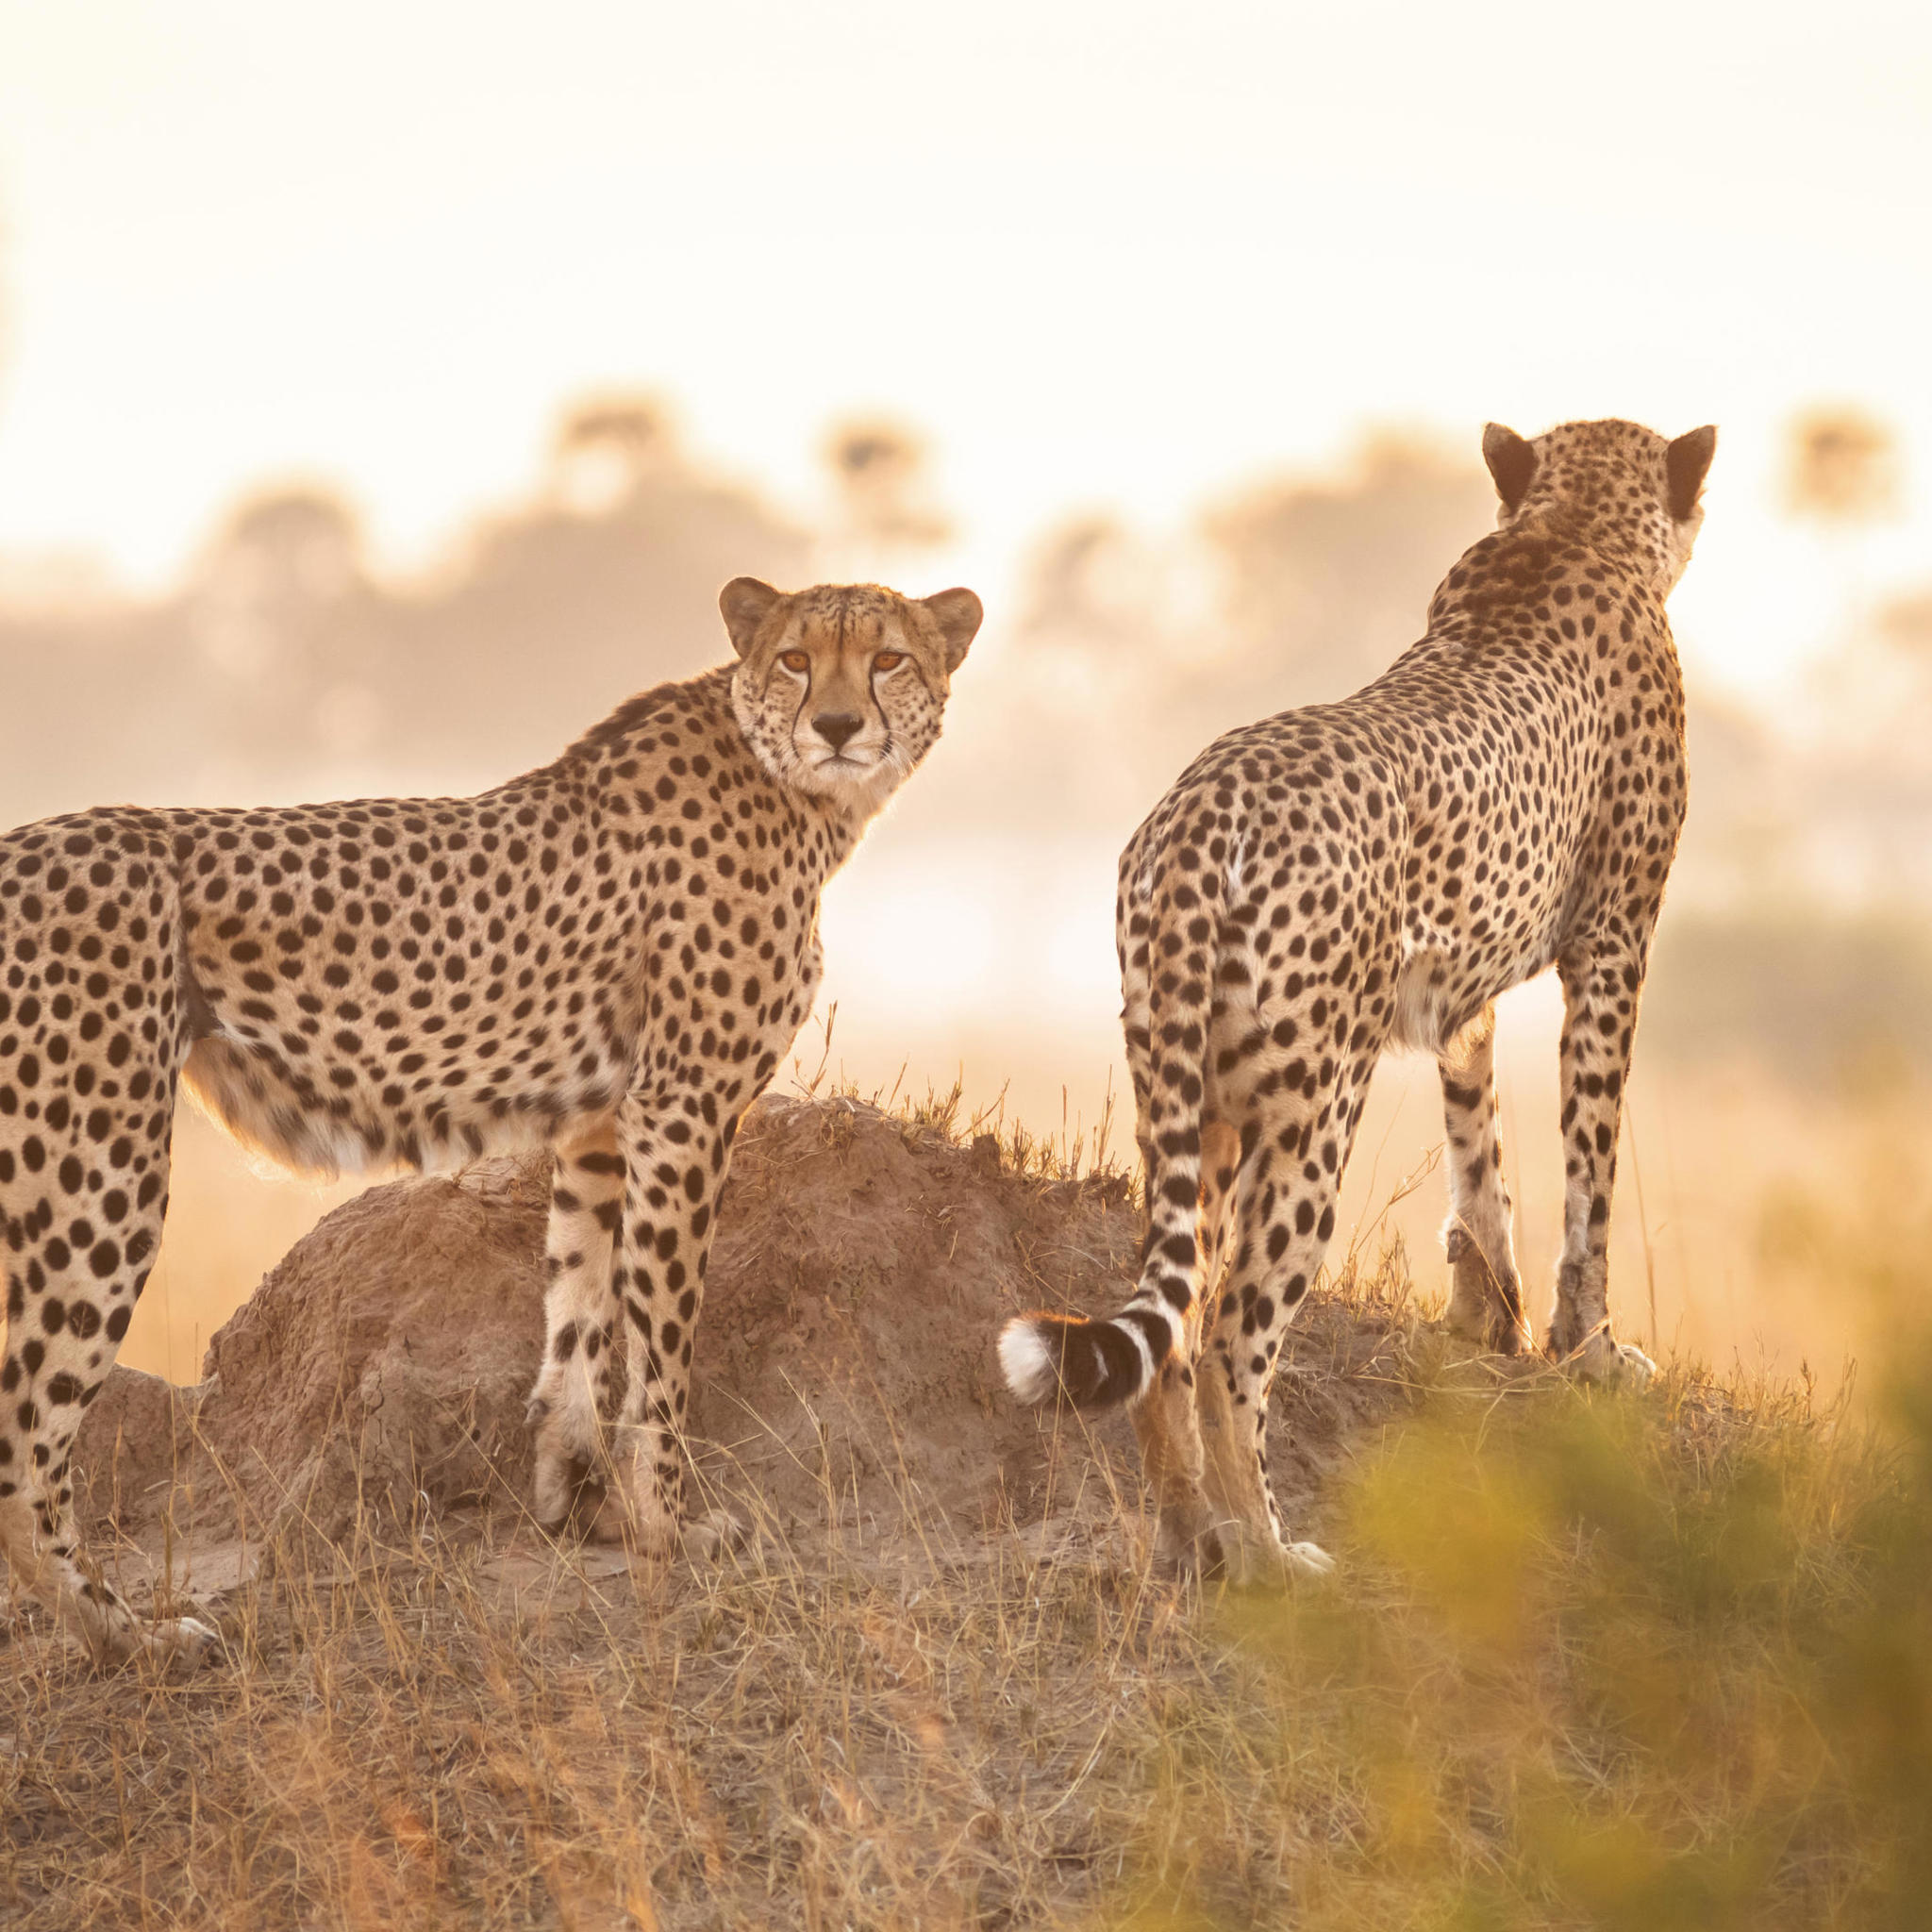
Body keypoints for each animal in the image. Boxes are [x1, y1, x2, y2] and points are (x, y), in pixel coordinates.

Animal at [0, 575, 981, 1665]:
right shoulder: (683, 1105)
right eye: (797, 660)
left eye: (887, 658)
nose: (838, 725)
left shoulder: (604, 1119)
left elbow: (580, 1304)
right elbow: (662, 1339)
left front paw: (582, 1501)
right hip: (99, 1169)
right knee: (26, 1444)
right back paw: (126, 1635)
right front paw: (667, 1523)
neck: (794, 790)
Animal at [1002, 417, 1715, 1583]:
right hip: (1311, 1107)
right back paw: (1266, 1551)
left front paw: (1488, 1316)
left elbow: (1480, 1151)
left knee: (1172, 1314)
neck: (1568, 529)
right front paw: (1592, 1350)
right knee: (1232, 1330)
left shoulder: (1457, 994)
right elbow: (1590, 1179)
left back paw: (1187, 1534)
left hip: (1185, 1099)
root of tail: (1200, 804)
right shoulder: (1611, 949)